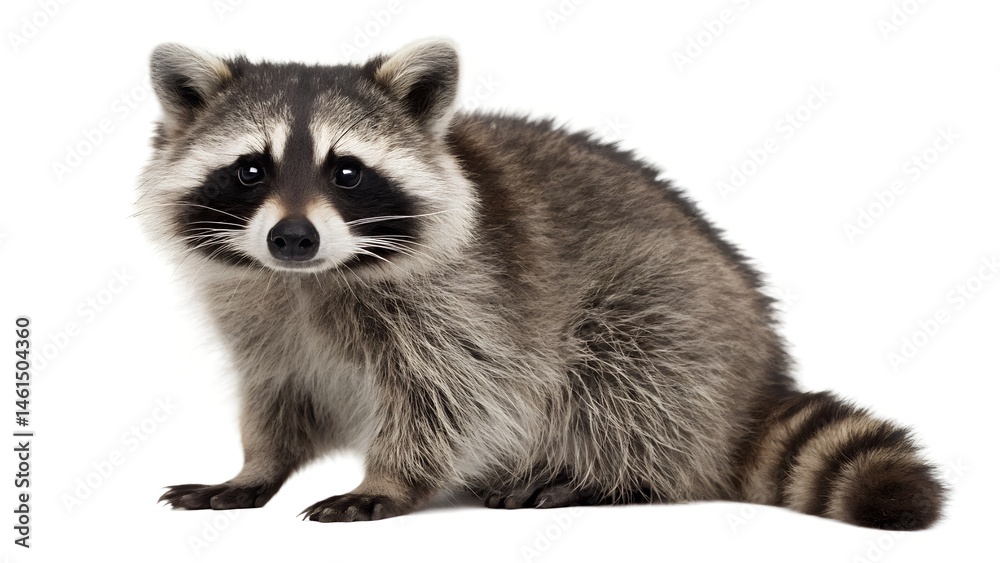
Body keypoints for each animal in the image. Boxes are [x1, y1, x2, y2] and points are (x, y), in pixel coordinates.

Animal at [139, 39, 945, 528]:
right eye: (251, 169)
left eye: (347, 171)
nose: (293, 238)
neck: (312, 280)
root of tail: (754, 386)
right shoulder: (262, 316)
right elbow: (277, 394)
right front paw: (256, 464)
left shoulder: (470, 300)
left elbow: (454, 399)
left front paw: (390, 480)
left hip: (672, 310)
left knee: (629, 375)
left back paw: (607, 474)